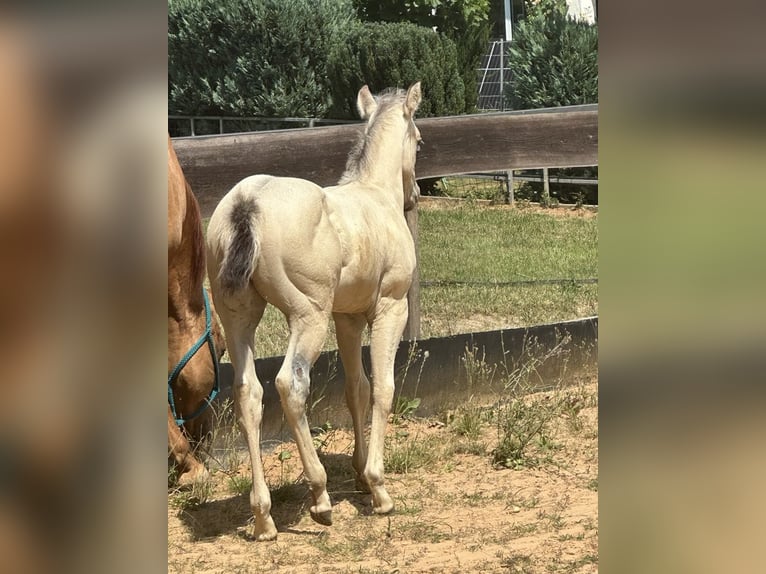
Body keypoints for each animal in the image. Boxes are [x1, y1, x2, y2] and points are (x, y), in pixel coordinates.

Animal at [206, 82, 423, 540]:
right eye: (419, 140)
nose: (414, 195)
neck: (375, 196)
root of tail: (247, 203)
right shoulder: (389, 308)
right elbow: (383, 388)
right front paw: (378, 488)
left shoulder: (347, 318)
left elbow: (356, 389)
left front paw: (359, 474)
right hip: (309, 317)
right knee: (290, 384)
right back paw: (320, 498)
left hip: (237, 317)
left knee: (248, 392)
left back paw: (263, 517)